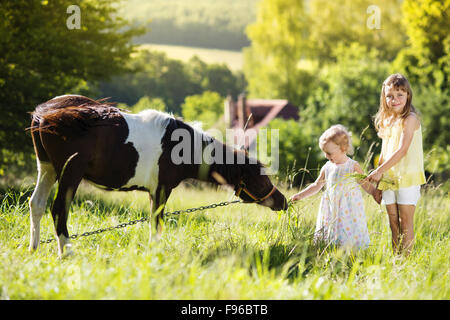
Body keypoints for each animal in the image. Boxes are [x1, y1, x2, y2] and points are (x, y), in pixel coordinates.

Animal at [29, 94, 288, 256]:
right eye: (261, 179)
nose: (283, 202)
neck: (182, 146)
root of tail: (44, 112)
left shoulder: (154, 191)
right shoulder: (162, 189)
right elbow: (157, 223)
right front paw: (155, 253)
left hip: (47, 168)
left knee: (37, 204)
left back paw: (34, 249)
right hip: (69, 173)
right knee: (58, 210)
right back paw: (66, 254)